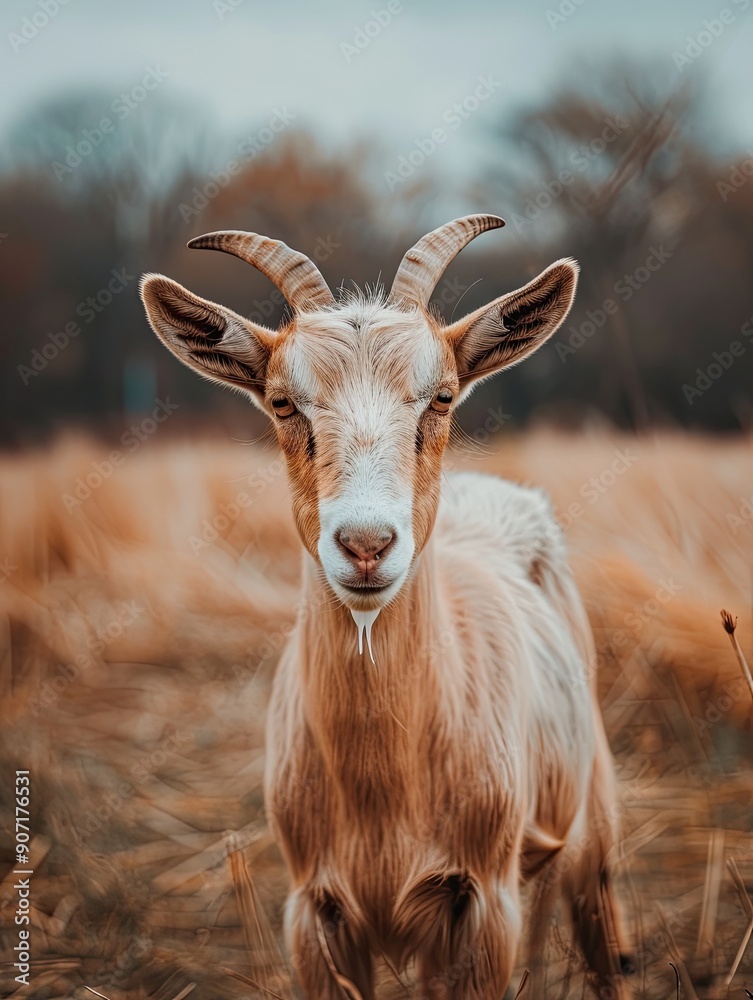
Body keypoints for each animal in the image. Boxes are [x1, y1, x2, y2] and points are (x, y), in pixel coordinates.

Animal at [141, 215, 631, 998]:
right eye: (283, 401)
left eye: (443, 397)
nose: (366, 544)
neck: (384, 790)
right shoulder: (313, 912)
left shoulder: (486, 903)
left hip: (594, 835)